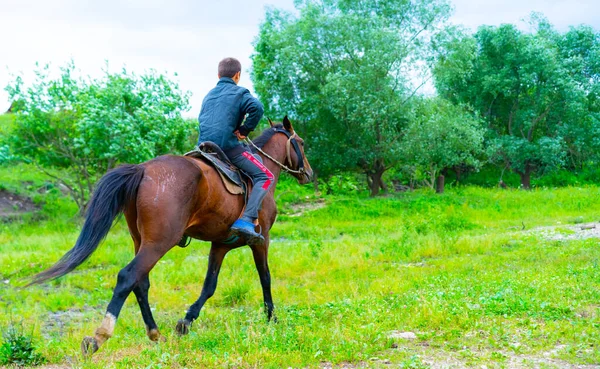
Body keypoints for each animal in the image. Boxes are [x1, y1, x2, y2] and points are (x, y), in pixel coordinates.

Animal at [31, 116, 314, 356]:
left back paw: (155, 333)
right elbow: (265, 277)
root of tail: (143, 169)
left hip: (141, 241)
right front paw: (272, 318)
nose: (310, 174)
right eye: (300, 143)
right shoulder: (261, 240)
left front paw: (186, 322)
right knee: (128, 277)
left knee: (140, 283)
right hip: (158, 243)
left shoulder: (220, 245)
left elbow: (209, 285)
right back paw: (100, 336)